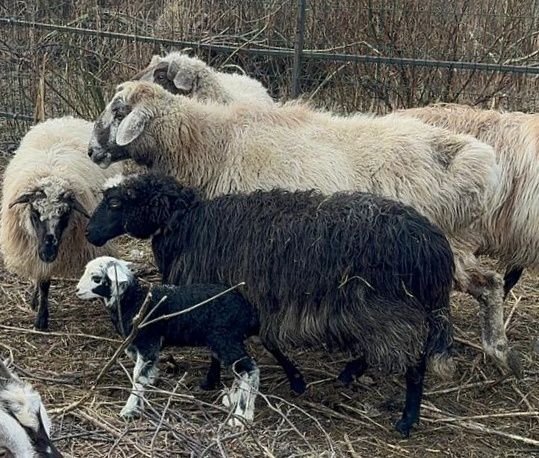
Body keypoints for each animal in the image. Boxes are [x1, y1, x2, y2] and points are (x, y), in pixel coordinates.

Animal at [0, 114, 123, 330]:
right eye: (34, 214)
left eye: (65, 215)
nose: (48, 253)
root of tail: (63, 118)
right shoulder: (38, 251)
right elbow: (43, 282)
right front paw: (41, 318)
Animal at [75, 256, 306, 424]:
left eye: (96, 278)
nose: (77, 290)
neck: (134, 300)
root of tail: (247, 308)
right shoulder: (140, 345)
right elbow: (143, 369)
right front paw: (152, 380)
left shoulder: (148, 341)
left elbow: (137, 376)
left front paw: (129, 410)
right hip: (225, 341)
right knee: (241, 370)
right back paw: (237, 403)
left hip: (224, 338)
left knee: (250, 369)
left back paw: (242, 415)